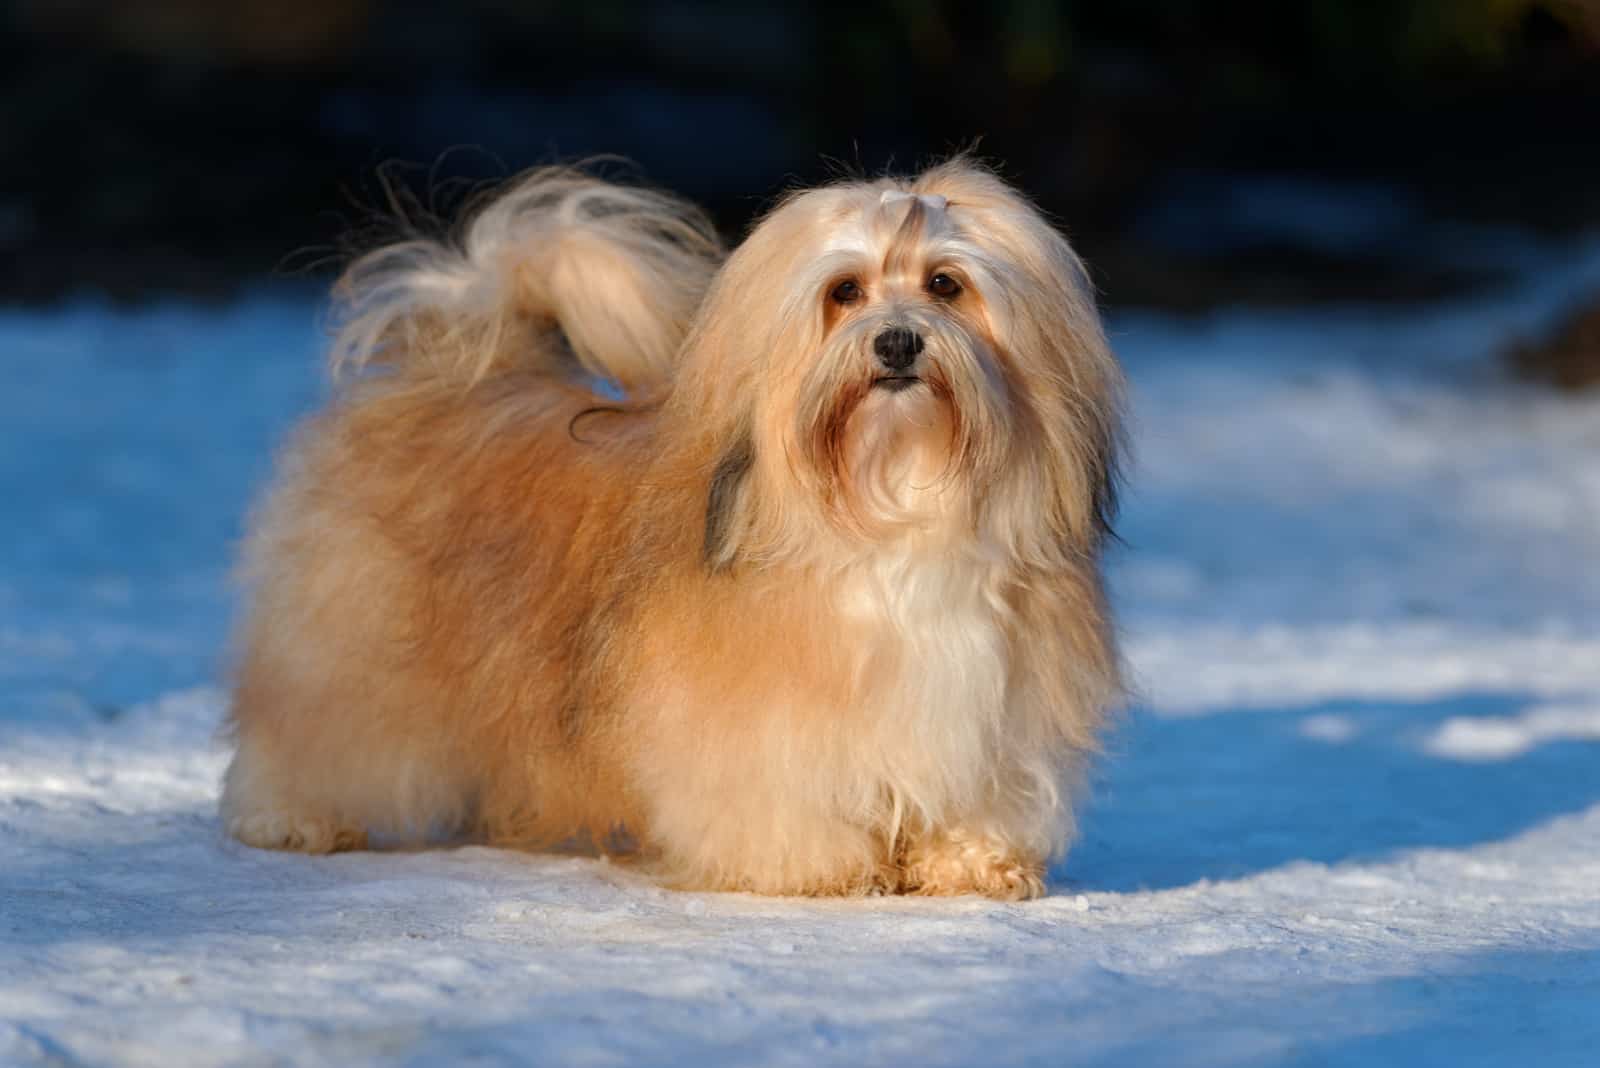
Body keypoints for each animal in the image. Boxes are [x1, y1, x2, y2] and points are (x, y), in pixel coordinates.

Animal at [222, 158, 1126, 895]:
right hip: (351, 644)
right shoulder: (755, 724)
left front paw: (972, 863)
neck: (895, 510)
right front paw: (814, 865)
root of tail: (463, 363)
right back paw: (290, 816)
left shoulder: (995, 718)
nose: (898, 343)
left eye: (944, 285)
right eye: (845, 292)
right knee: (310, 722)